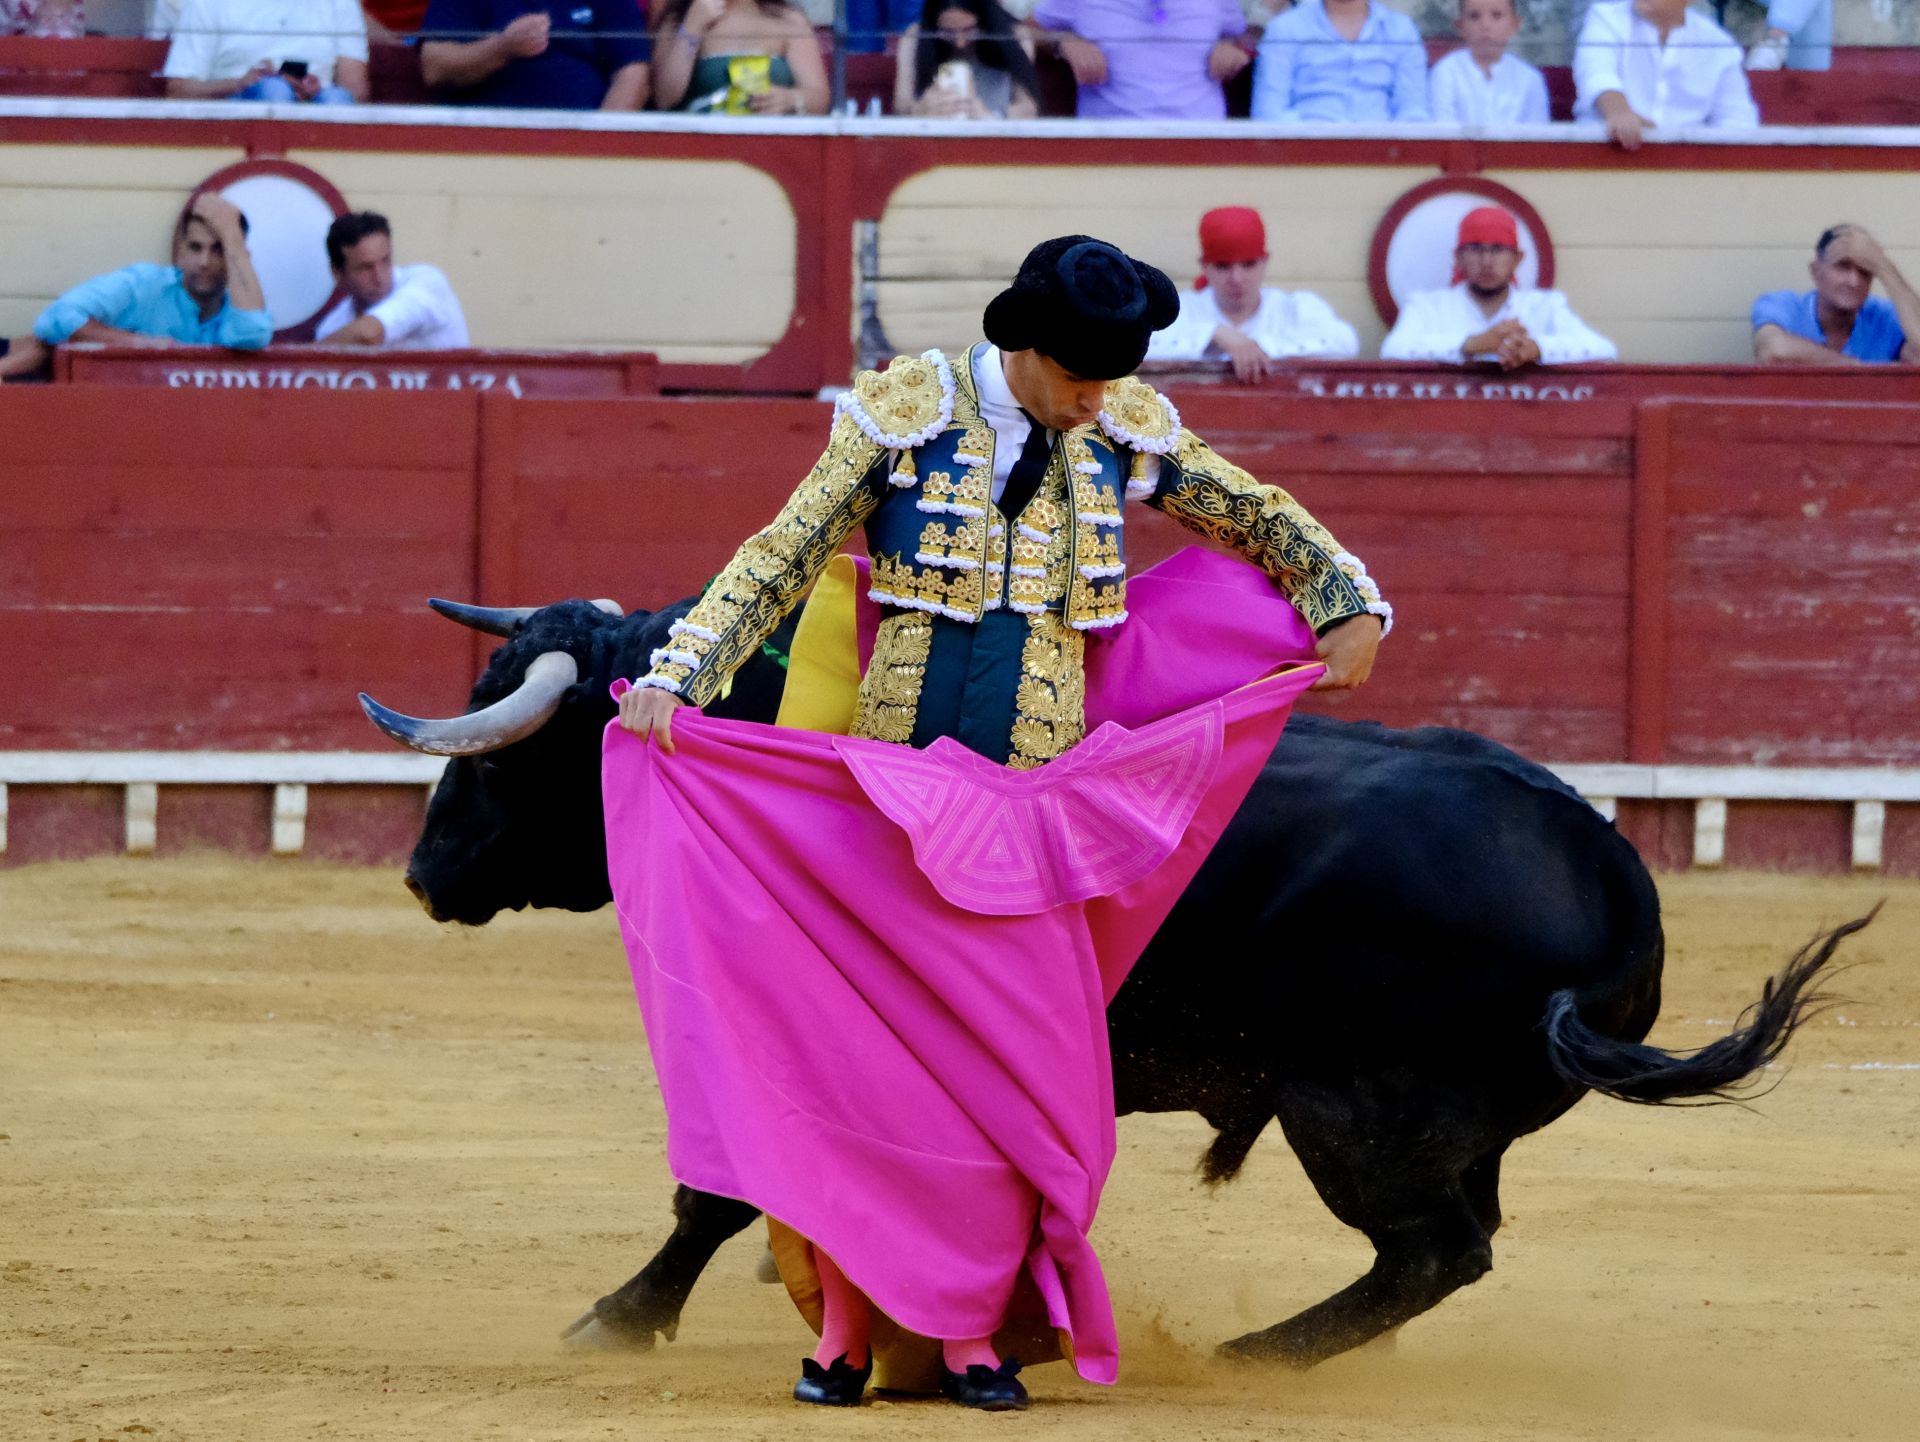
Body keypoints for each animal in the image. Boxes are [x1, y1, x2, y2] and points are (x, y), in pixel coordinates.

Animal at [370, 595, 1858, 1367]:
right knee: (1442, 1250)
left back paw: (1247, 1360)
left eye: (510, 752)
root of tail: (1607, 865)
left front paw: (618, 1320)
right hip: (1433, 1120)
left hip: (1359, 1108)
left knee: (1435, 1247)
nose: (425, 873)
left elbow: (721, 1186)